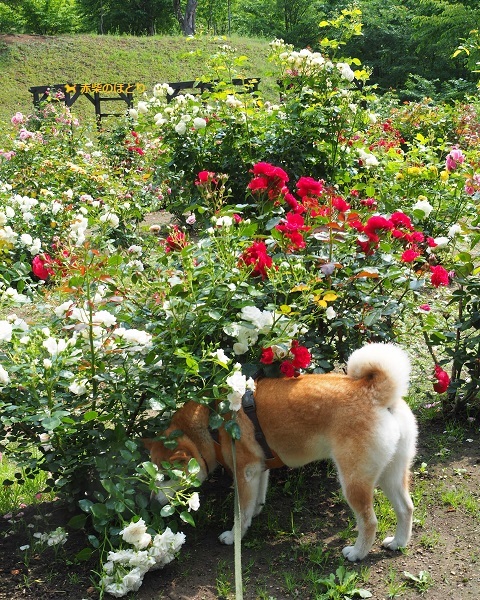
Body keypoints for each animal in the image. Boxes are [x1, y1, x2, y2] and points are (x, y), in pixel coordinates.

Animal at [145, 342, 416, 564]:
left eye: (166, 477)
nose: (151, 503)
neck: (213, 422)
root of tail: (374, 390)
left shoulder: (244, 472)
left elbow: (240, 512)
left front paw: (235, 535)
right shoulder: (258, 470)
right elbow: (256, 500)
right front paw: (254, 514)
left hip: (353, 480)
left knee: (369, 521)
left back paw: (358, 553)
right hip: (391, 472)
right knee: (406, 508)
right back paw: (398, 542)